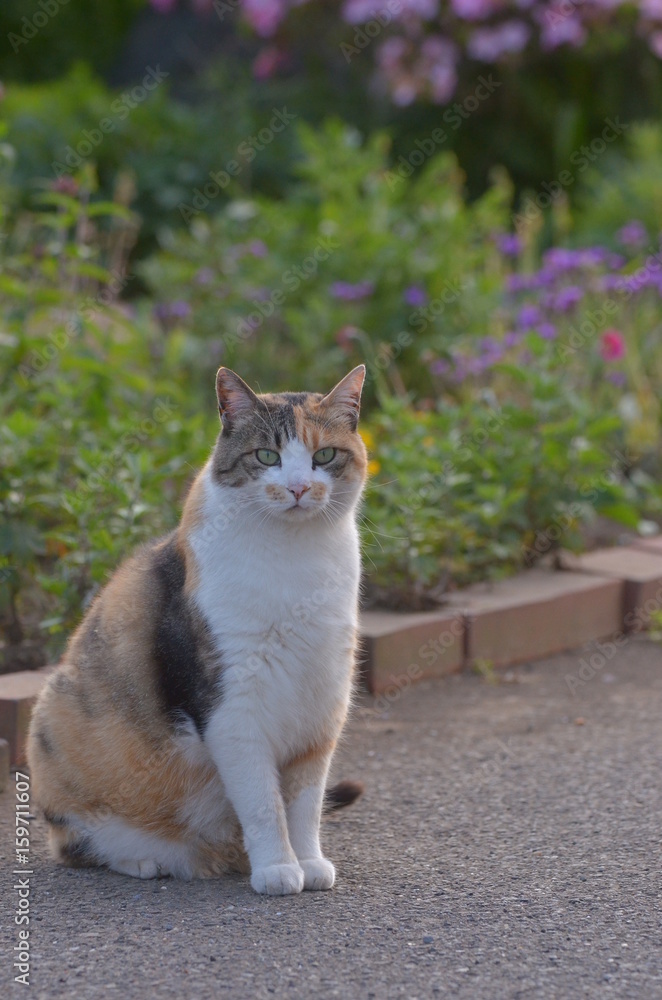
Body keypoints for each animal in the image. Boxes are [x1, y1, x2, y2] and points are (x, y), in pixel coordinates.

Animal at [27, 364, 368, 896]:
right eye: (266, 456)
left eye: (324, 456)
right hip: (52, 721)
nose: (297, 488)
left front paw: (309, 862)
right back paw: (146, 861)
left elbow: (305, 803)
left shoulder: (322, 704)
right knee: (74, 847)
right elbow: (263, 803)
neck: (295, 562)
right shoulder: (232, 709)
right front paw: (277, 869)